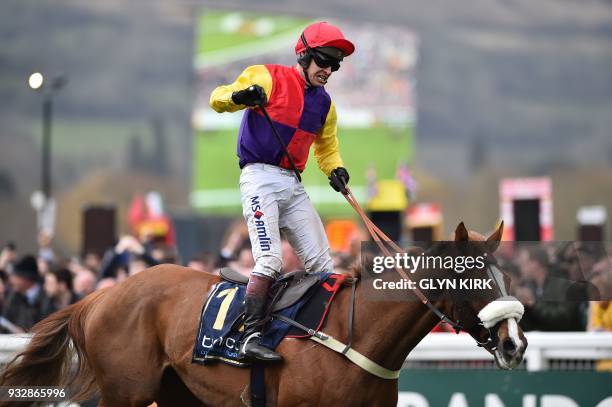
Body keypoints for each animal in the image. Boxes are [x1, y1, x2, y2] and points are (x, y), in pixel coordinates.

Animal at [0, 225, 524, 406]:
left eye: (505, 276)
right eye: (474, 278)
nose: (516, 343)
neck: (355, 338)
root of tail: (99, 297)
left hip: (179, 393)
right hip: (127, 392)